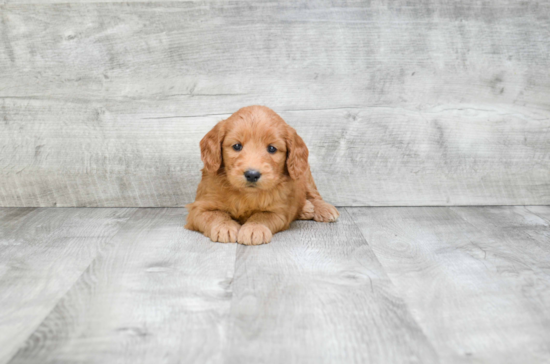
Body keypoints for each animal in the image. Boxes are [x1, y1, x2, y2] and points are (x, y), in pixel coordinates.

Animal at [188, 104, 338, 245]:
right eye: (237, 146)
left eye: (272, 148)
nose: (252, 174)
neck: (246, 194)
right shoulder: (198, 208)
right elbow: (214, 214)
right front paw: (224, 227)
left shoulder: (279, 211)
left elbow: (262, 216)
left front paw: (254, 228)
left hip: (304, 174)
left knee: (313, 194)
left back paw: (321, 208)